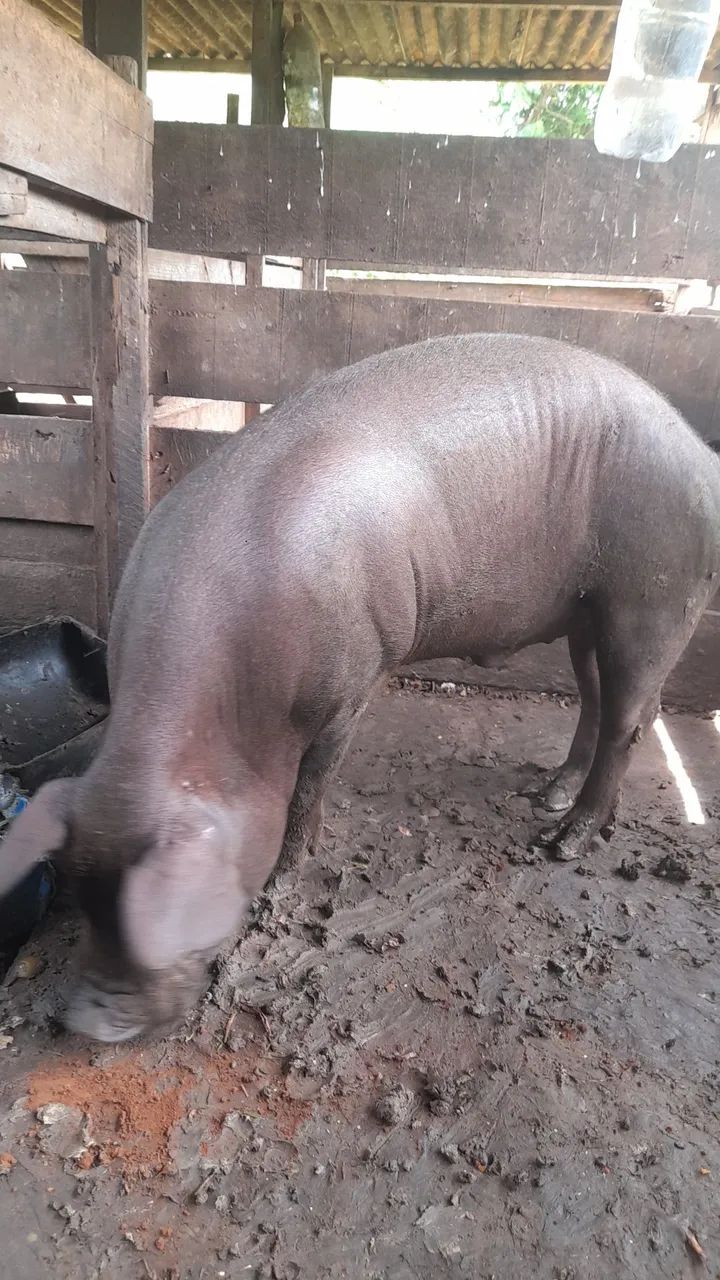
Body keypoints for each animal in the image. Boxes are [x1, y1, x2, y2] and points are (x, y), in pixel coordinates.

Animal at [1, 333, 718, 1042]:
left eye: (165, 900)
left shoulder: (350, 685)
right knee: (598, 700)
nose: (87, 1019)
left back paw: (562, 842)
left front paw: (286, 876)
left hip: (651, 597)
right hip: (588, 615)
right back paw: (545, 795)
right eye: (80, 892)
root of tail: (701, 459)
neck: (221, 724)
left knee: (632, 718)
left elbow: (309, 783)